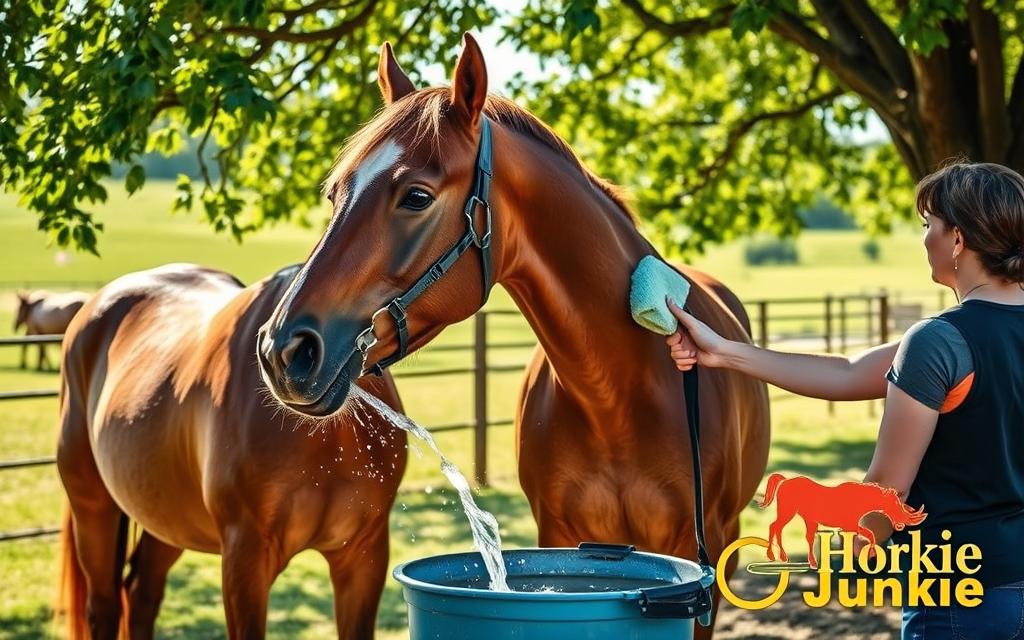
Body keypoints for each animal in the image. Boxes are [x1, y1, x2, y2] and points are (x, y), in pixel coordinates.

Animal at [56, 262, 405, 634]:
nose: (291, 355)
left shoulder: (363, 557)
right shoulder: (245, 561)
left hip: (167, 517)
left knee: (141, 593)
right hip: (93, 509)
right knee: (104, 605)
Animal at [256, 36, 770, 634]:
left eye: (416, 196)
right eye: (335, 192)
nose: (283, 350)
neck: (618, 397)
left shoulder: (700, 562)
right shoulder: (558, 535)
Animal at [761, 468, 929, 569]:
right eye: (894, 504)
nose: (901, 525)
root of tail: (784, 480)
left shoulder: (851, 526)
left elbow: (869, 535)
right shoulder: (850, 526)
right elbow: (869, 534)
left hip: (805, 517)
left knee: (788, 530)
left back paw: (791, 559)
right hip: (788, 511)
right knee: (775, 526)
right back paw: (775, 556)